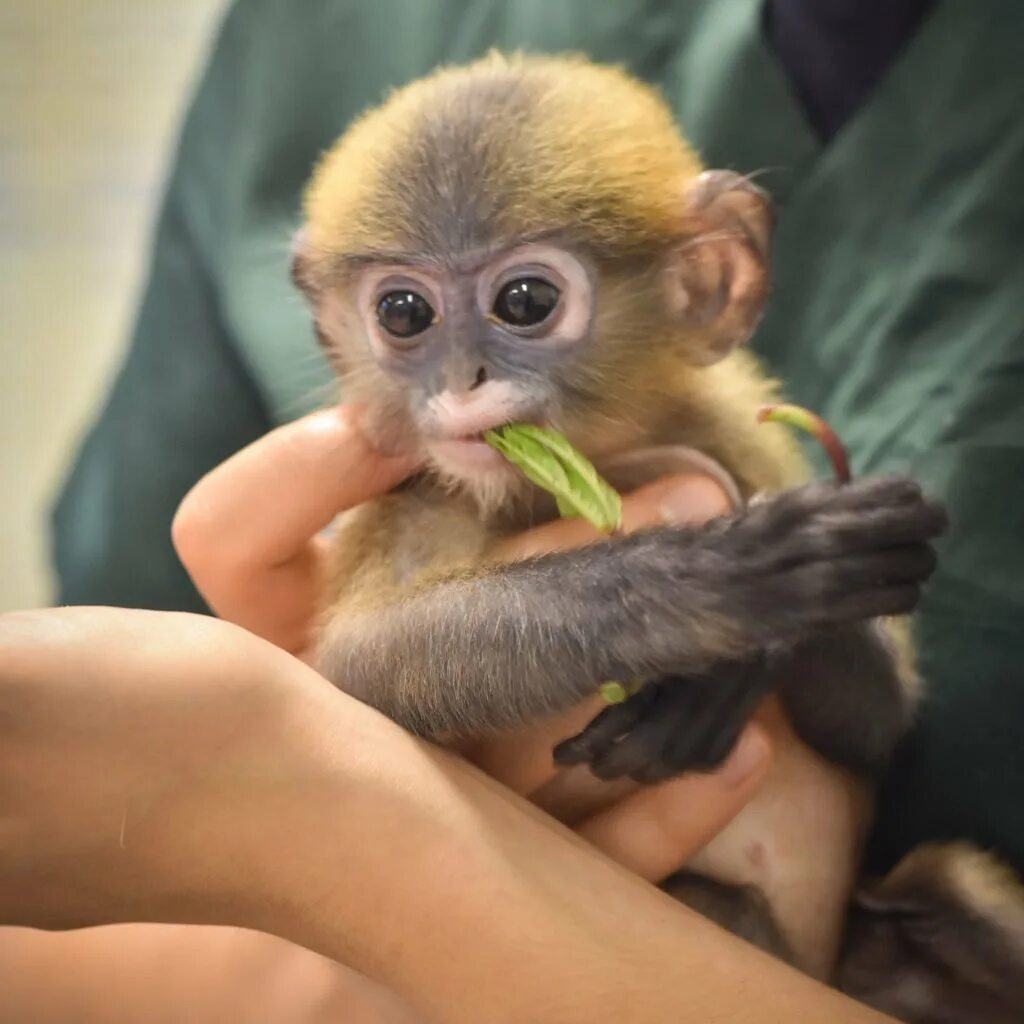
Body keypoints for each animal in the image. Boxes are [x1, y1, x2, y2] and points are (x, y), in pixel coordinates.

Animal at [288, 54, 1024, 1015]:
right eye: (404, 313)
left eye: (526, 300)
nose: (461, 378)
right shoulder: (417, 482)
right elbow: (362, 664)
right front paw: (722, 581)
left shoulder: (733, 428)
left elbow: (879, 721)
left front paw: (751, 656)